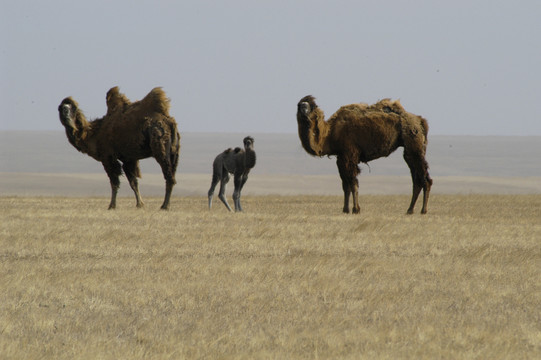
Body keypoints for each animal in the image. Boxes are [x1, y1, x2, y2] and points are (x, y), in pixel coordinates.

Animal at [296, 95, 430, 214]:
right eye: (300, 104)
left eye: (312, 106)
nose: (304, 109)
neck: (329, 135)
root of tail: (420, 121)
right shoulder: (341, 157)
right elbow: (345, 185)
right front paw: (345, 210)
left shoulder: (350, 154)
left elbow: (353, 183)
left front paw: (356, 209)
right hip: (411, 149)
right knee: (417, 179)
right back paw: (410, 210)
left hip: (413, 144)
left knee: (424, 179)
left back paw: (422, 210)